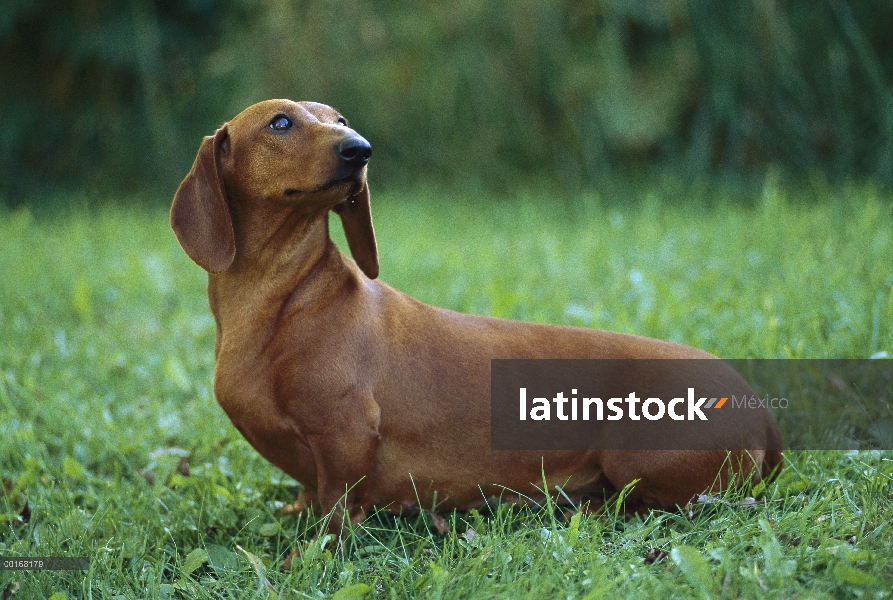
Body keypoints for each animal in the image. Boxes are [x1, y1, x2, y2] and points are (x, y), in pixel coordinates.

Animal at [169, 99, 780, 536]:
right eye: (280, 122)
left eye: (340, 119)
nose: (361, 149)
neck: (280, 302)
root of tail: (757, 407)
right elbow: (308, 496)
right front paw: (294, 515)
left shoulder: (345, 434)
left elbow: (337, 511)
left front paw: (311, 554)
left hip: (636, 455)